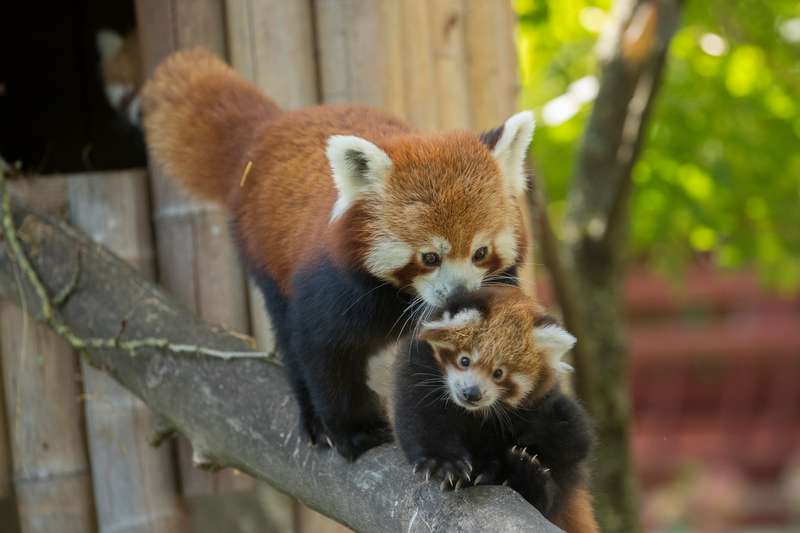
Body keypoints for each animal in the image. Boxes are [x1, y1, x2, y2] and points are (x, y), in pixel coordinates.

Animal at [141, 47, 536, 460]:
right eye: (429, 257)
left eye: (480, 252)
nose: (459, 294)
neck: (401, 297)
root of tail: (268, 131)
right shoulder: (334, 285)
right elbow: (323, 349)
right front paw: (355, 430)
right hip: (264, 253)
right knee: (288, 335)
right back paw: (313, 418)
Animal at [376, 286, 600, 532]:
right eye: (465, 360)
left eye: (498, 373)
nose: (472, 393)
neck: (469, 412)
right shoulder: (416, 370)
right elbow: (419, 418)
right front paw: (444, 463)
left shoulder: (541, 401)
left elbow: (578, 439)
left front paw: (491, 466)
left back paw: (527, 476)